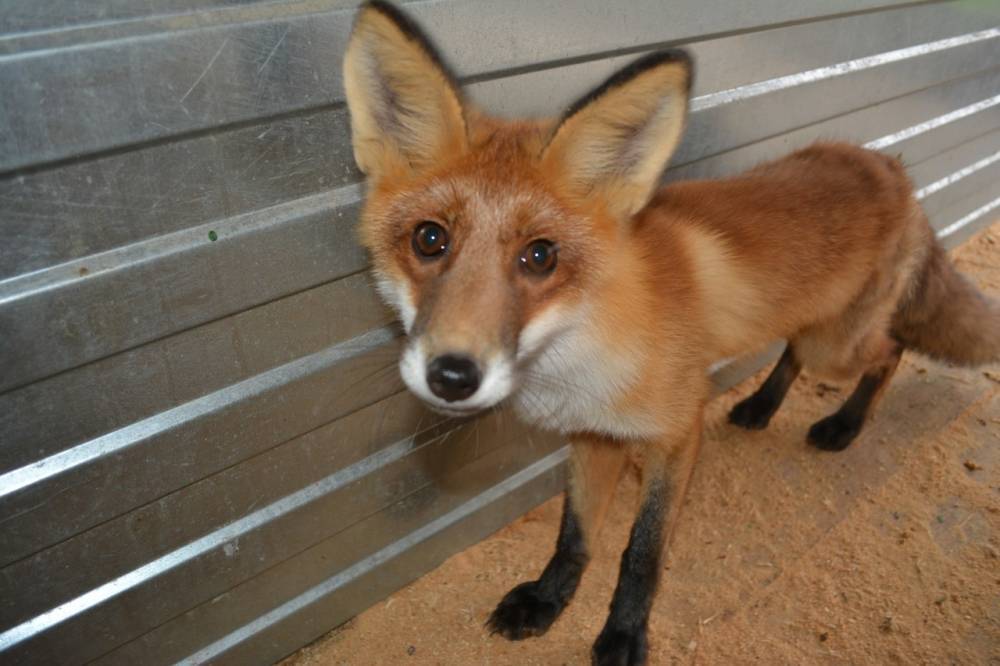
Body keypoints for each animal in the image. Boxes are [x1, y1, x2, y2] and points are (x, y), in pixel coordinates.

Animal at [340, 2, 996, 660]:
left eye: (540, 256)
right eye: (430, 239)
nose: (452, 375)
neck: (583, 353)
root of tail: (889, 164)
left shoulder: (677, 432)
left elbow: (641, 553)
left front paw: (624, 634)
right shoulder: (593, 437)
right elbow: (574, 535)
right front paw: (547, 601)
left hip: (836, 346)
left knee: (891, 348)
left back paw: (846, 424)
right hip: (816, 330)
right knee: (798, 349)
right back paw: (761, 405)